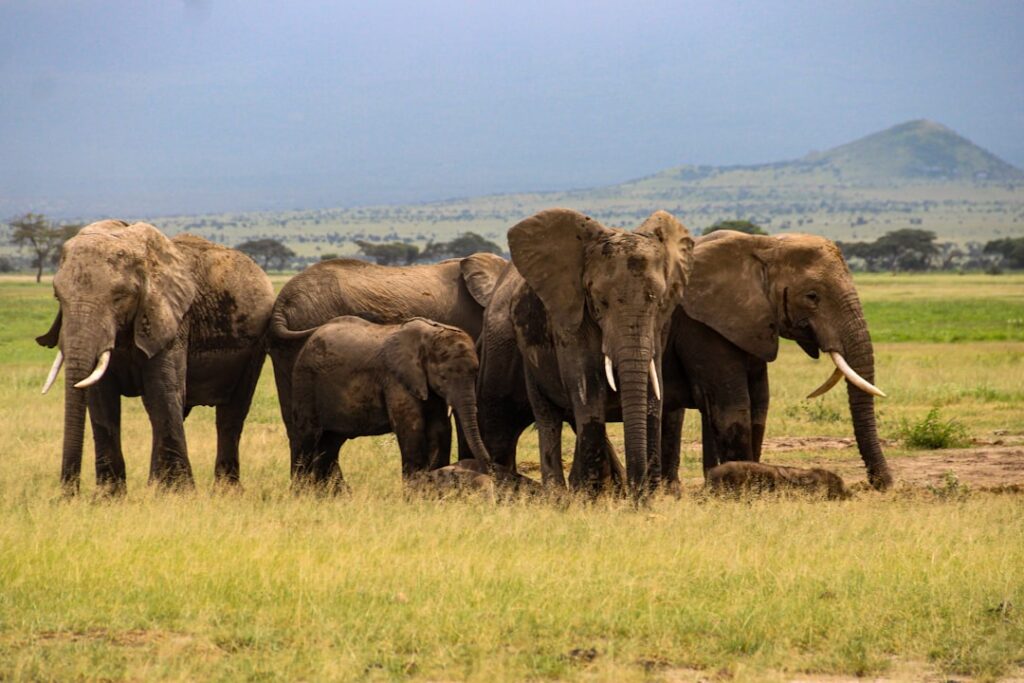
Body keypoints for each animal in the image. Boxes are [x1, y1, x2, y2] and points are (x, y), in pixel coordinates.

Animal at [36, 220, 274, 495]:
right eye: (58, 296)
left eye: (119, 297)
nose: (68, 494)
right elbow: (102, 399)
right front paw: (109, 496)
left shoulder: (174, 321)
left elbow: (161, 391)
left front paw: (178, 494)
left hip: (255, 347)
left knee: (230, 414)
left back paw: (226, 491)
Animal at [290, 316, 492, 490]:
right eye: (443, 377)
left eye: (475, 373)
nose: (487, 468)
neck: (428, 335)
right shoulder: (396, 379)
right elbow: (411, 428)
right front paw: (414, 497)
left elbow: (440, 428)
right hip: (305, 382)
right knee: (306, 438)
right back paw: (300, 495)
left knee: (330, 444)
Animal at [478, 208, 693, 496]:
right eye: (601, 301)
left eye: (657, 300)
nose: (639, 497)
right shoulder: (570, 316)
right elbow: (587, 390)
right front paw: (591, 498)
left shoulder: (660, 326)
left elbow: (652, 391)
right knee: (536, 420)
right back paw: (557, 495)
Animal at [659, 230, 892, 490]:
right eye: (812, 296)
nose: (877, 484)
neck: (764, 244)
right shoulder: (700, 325)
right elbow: (732, 406)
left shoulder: (751, 323)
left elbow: (760, 403)